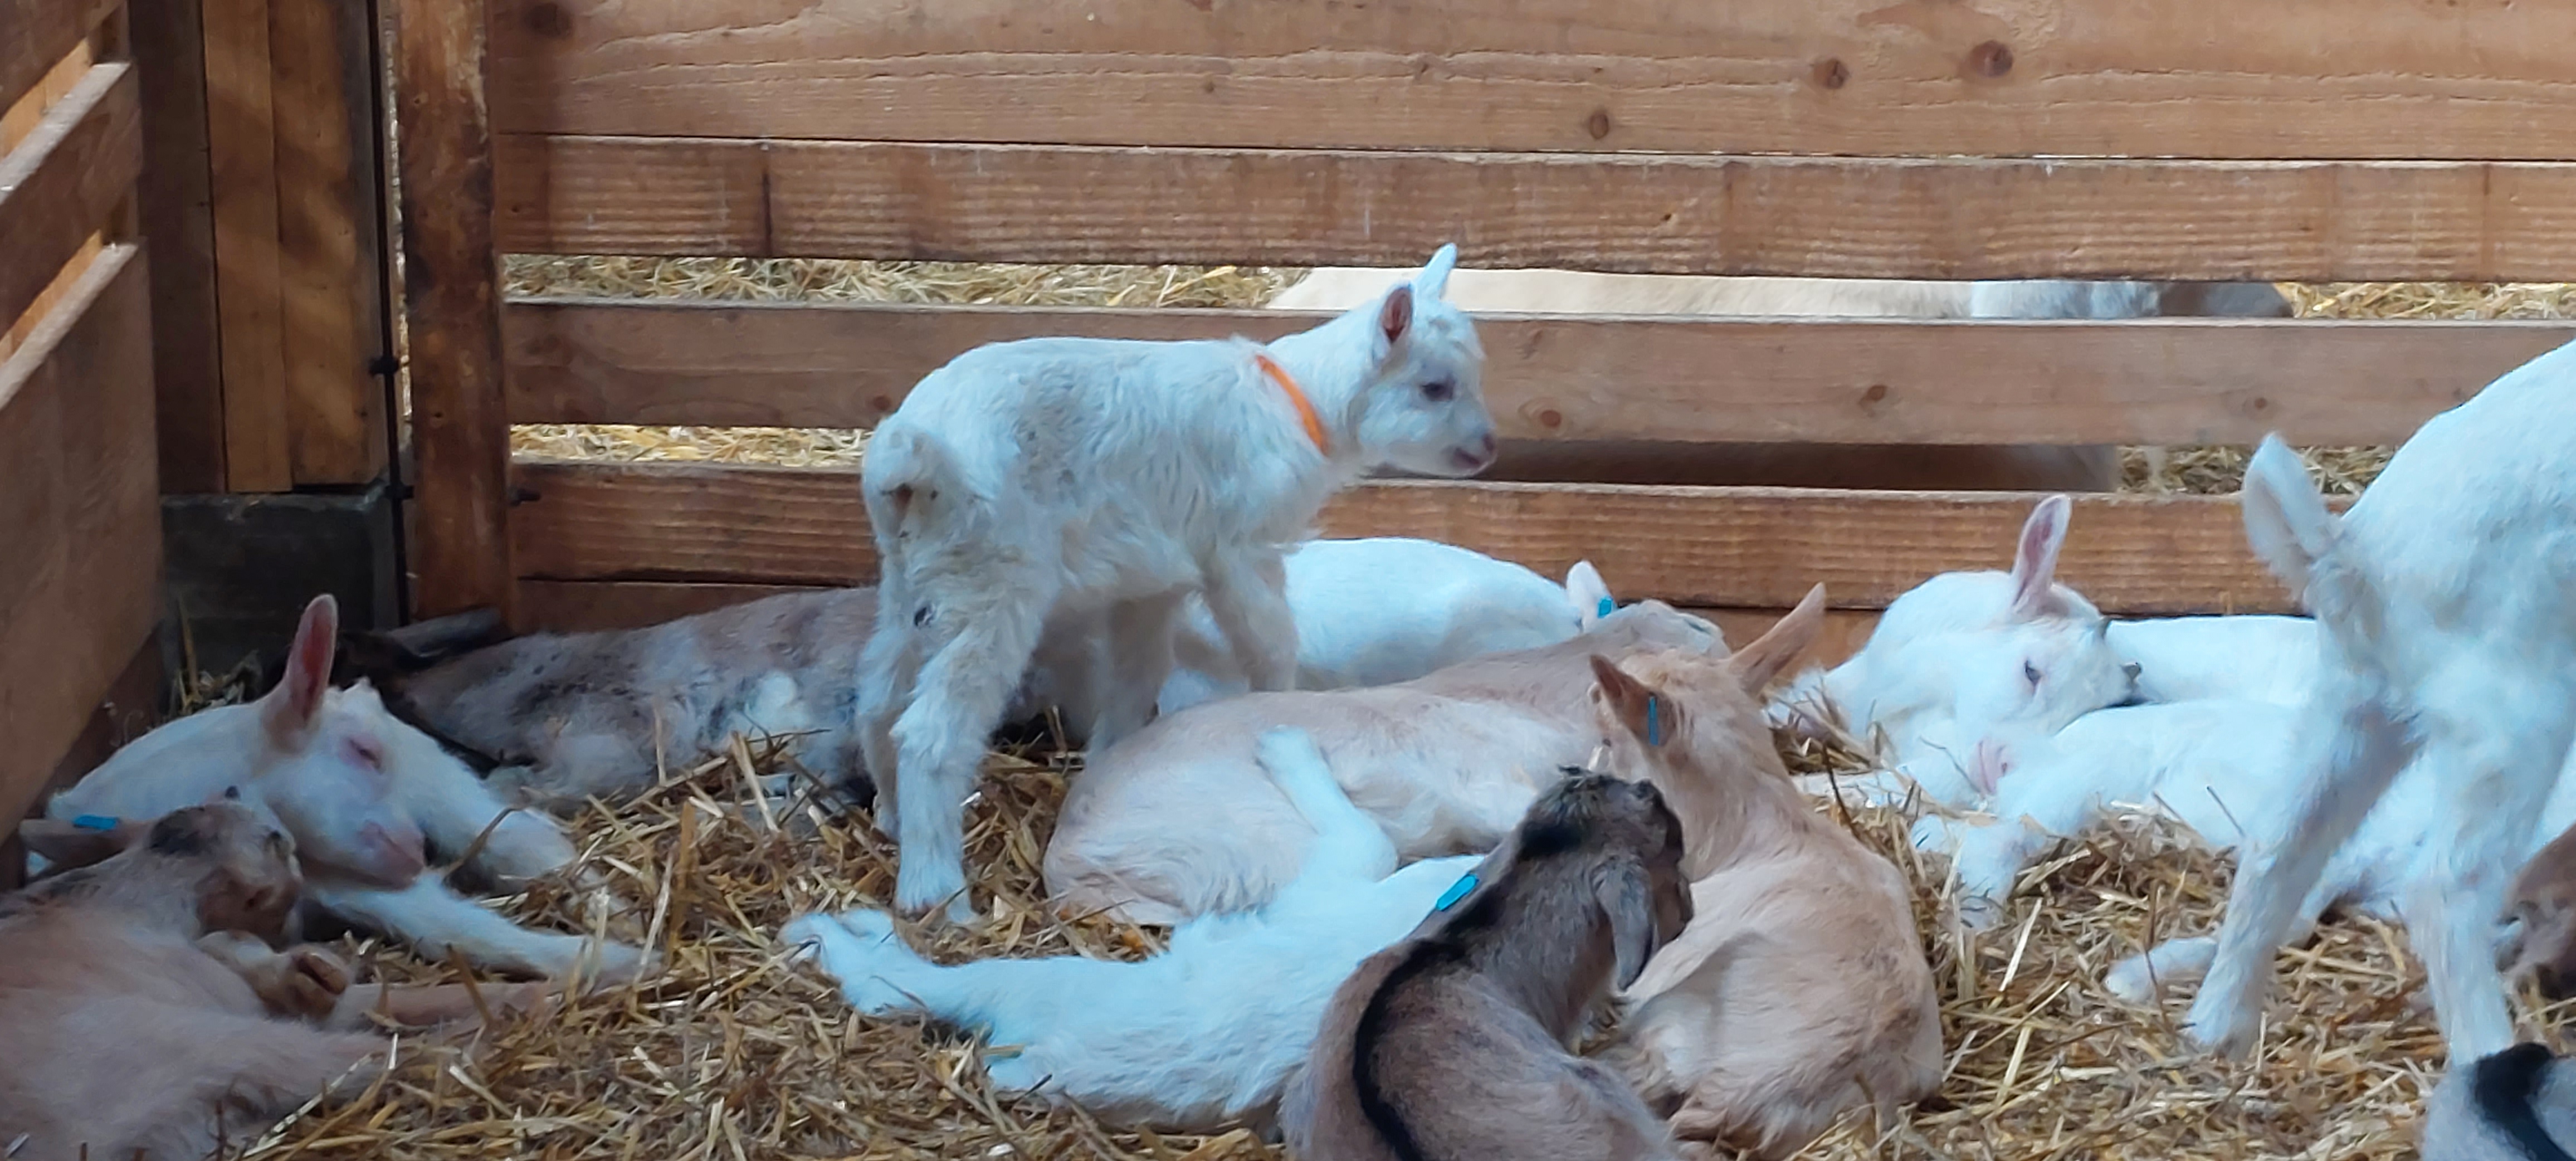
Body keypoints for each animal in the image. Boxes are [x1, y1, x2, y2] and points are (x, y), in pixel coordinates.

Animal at [43, 593, 652, 982]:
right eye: (363, 753)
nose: (416, 849)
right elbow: (448, 928)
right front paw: (613, 958)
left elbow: (452, 922)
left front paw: (624, 958)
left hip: (442, 786)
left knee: (525, 840)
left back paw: (616, 909)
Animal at [783, 727, 1479, 1133]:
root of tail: (1052, 1063)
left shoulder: (1344, 873)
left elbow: (1363, 831)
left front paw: (1286, 746)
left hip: (1038, 980)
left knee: (898, 988)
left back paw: (826, 932)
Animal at [857, 244, 1497, 922]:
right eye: (1434, 387)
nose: (1487, 447)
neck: (1299, 405)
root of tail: (909, 460)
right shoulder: (1241, 549)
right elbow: (1269, 647)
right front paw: (1280, 705)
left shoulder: (1152, 574)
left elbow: (1137, 676)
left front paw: (1116, 757)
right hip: (994, 580)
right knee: (930, 733)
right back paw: (936, 893)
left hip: (915, 576)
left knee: (876, 697)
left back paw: (891, 816)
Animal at [2180, 343, 2576, 1064]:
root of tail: (2355, 553)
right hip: (2512, 717)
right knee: (2444, 889)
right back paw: (2490, 1058)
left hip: (2352, 700)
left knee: (2279, 841)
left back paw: (2217, 1030)